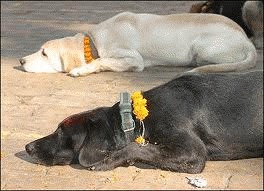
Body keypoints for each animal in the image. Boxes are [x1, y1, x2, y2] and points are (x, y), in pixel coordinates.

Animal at [19, 11, 258, 76]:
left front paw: (82, 70)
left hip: (201, 48)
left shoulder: (134, 59)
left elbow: (101, 61)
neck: (93, 41)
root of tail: (247, 41)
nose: (20, 60)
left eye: (44, 53)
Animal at [25, 71, 262, 174]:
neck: (134, 119)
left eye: (61, 131)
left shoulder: (193, 152)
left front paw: (110, 160)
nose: (27, 147)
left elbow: (135, 147)